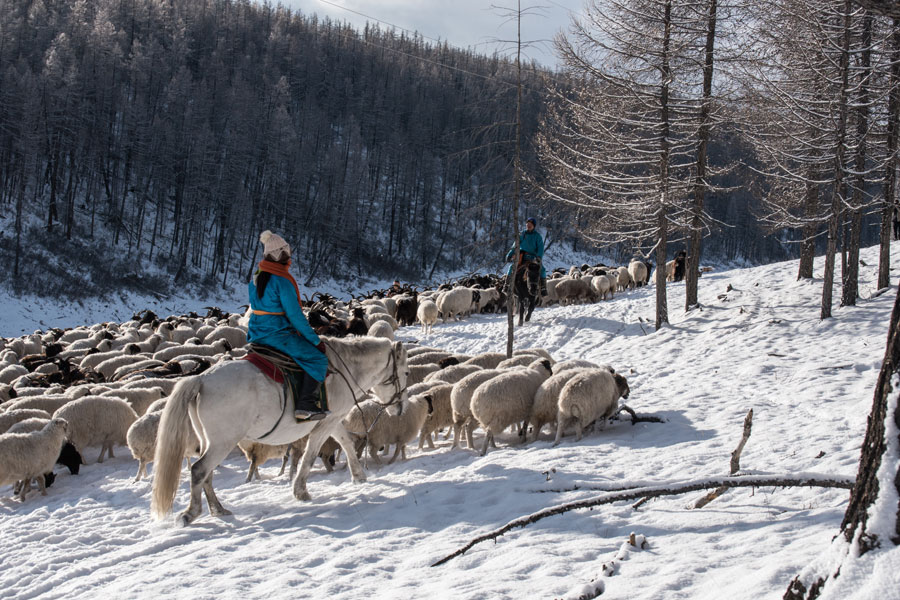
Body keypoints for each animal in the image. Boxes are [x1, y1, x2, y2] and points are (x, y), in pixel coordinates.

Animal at [152, 338, 412, 524]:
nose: (401, 408)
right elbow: (310, 455)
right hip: (222, 441)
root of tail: (201, 380)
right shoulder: (325, 422)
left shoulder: (333, 419)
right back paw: (191, 513)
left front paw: (358, 476)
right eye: (406, 373)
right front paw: (301, 491)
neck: (343, 369)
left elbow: (346, 443)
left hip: (211, 441)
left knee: (207, 473)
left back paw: (218, 509)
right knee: (199, 470)